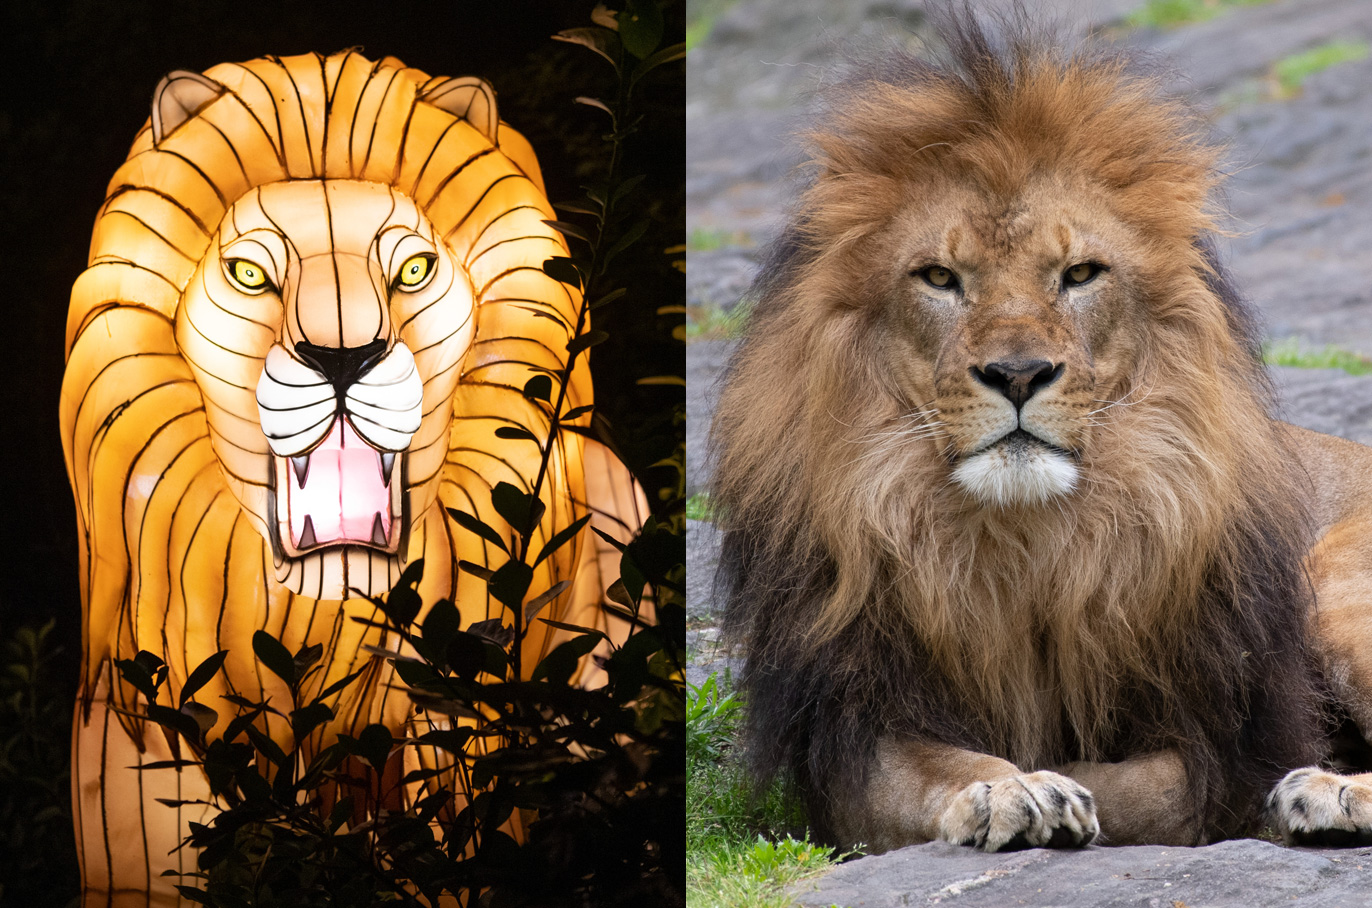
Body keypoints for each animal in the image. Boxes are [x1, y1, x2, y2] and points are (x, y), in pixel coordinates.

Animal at [710, 18, 1372, 854]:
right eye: (939, 277)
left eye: (1081, 273)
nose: (1019, 373)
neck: (1024, 544)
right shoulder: (852, 732)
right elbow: (935, 766)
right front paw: (1009, 787)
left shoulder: (1221, 727)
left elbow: (1154, 787)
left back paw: (1328, 793)